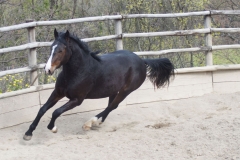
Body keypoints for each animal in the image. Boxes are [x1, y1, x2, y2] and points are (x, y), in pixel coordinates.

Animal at [23, 29, 174, 141]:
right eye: (51, 48)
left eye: (61, 50)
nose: (48, 70)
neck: (79, 71)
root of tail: (142, 61)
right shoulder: (58, 93)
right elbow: (42, 109)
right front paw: (28, 133)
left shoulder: (77, 100)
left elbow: (56, 111)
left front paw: (52, 128)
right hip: (114, 90)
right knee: (111, 106)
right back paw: (97, 123)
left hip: (126, 91)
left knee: (112, 106)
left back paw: (90, 123)